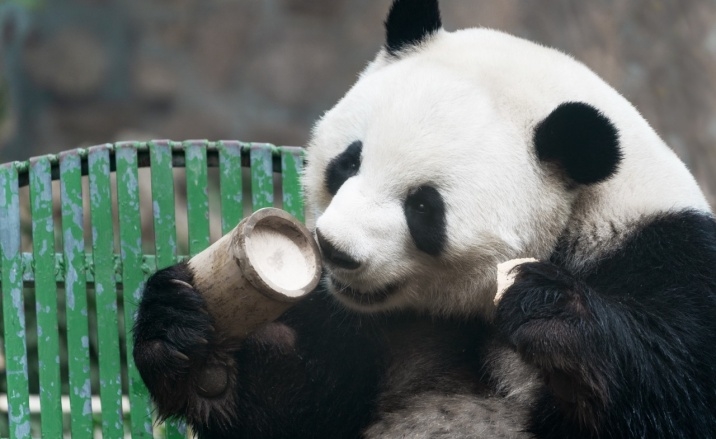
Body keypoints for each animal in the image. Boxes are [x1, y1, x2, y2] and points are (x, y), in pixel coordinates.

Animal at [132, 0, 716, 438]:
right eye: (348, 162)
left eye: (422, 207)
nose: (334, 248)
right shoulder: (356, 321)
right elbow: (294, 412)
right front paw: (186, 340)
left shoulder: (670, 262)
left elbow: (678, 393)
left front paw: (552, 313)